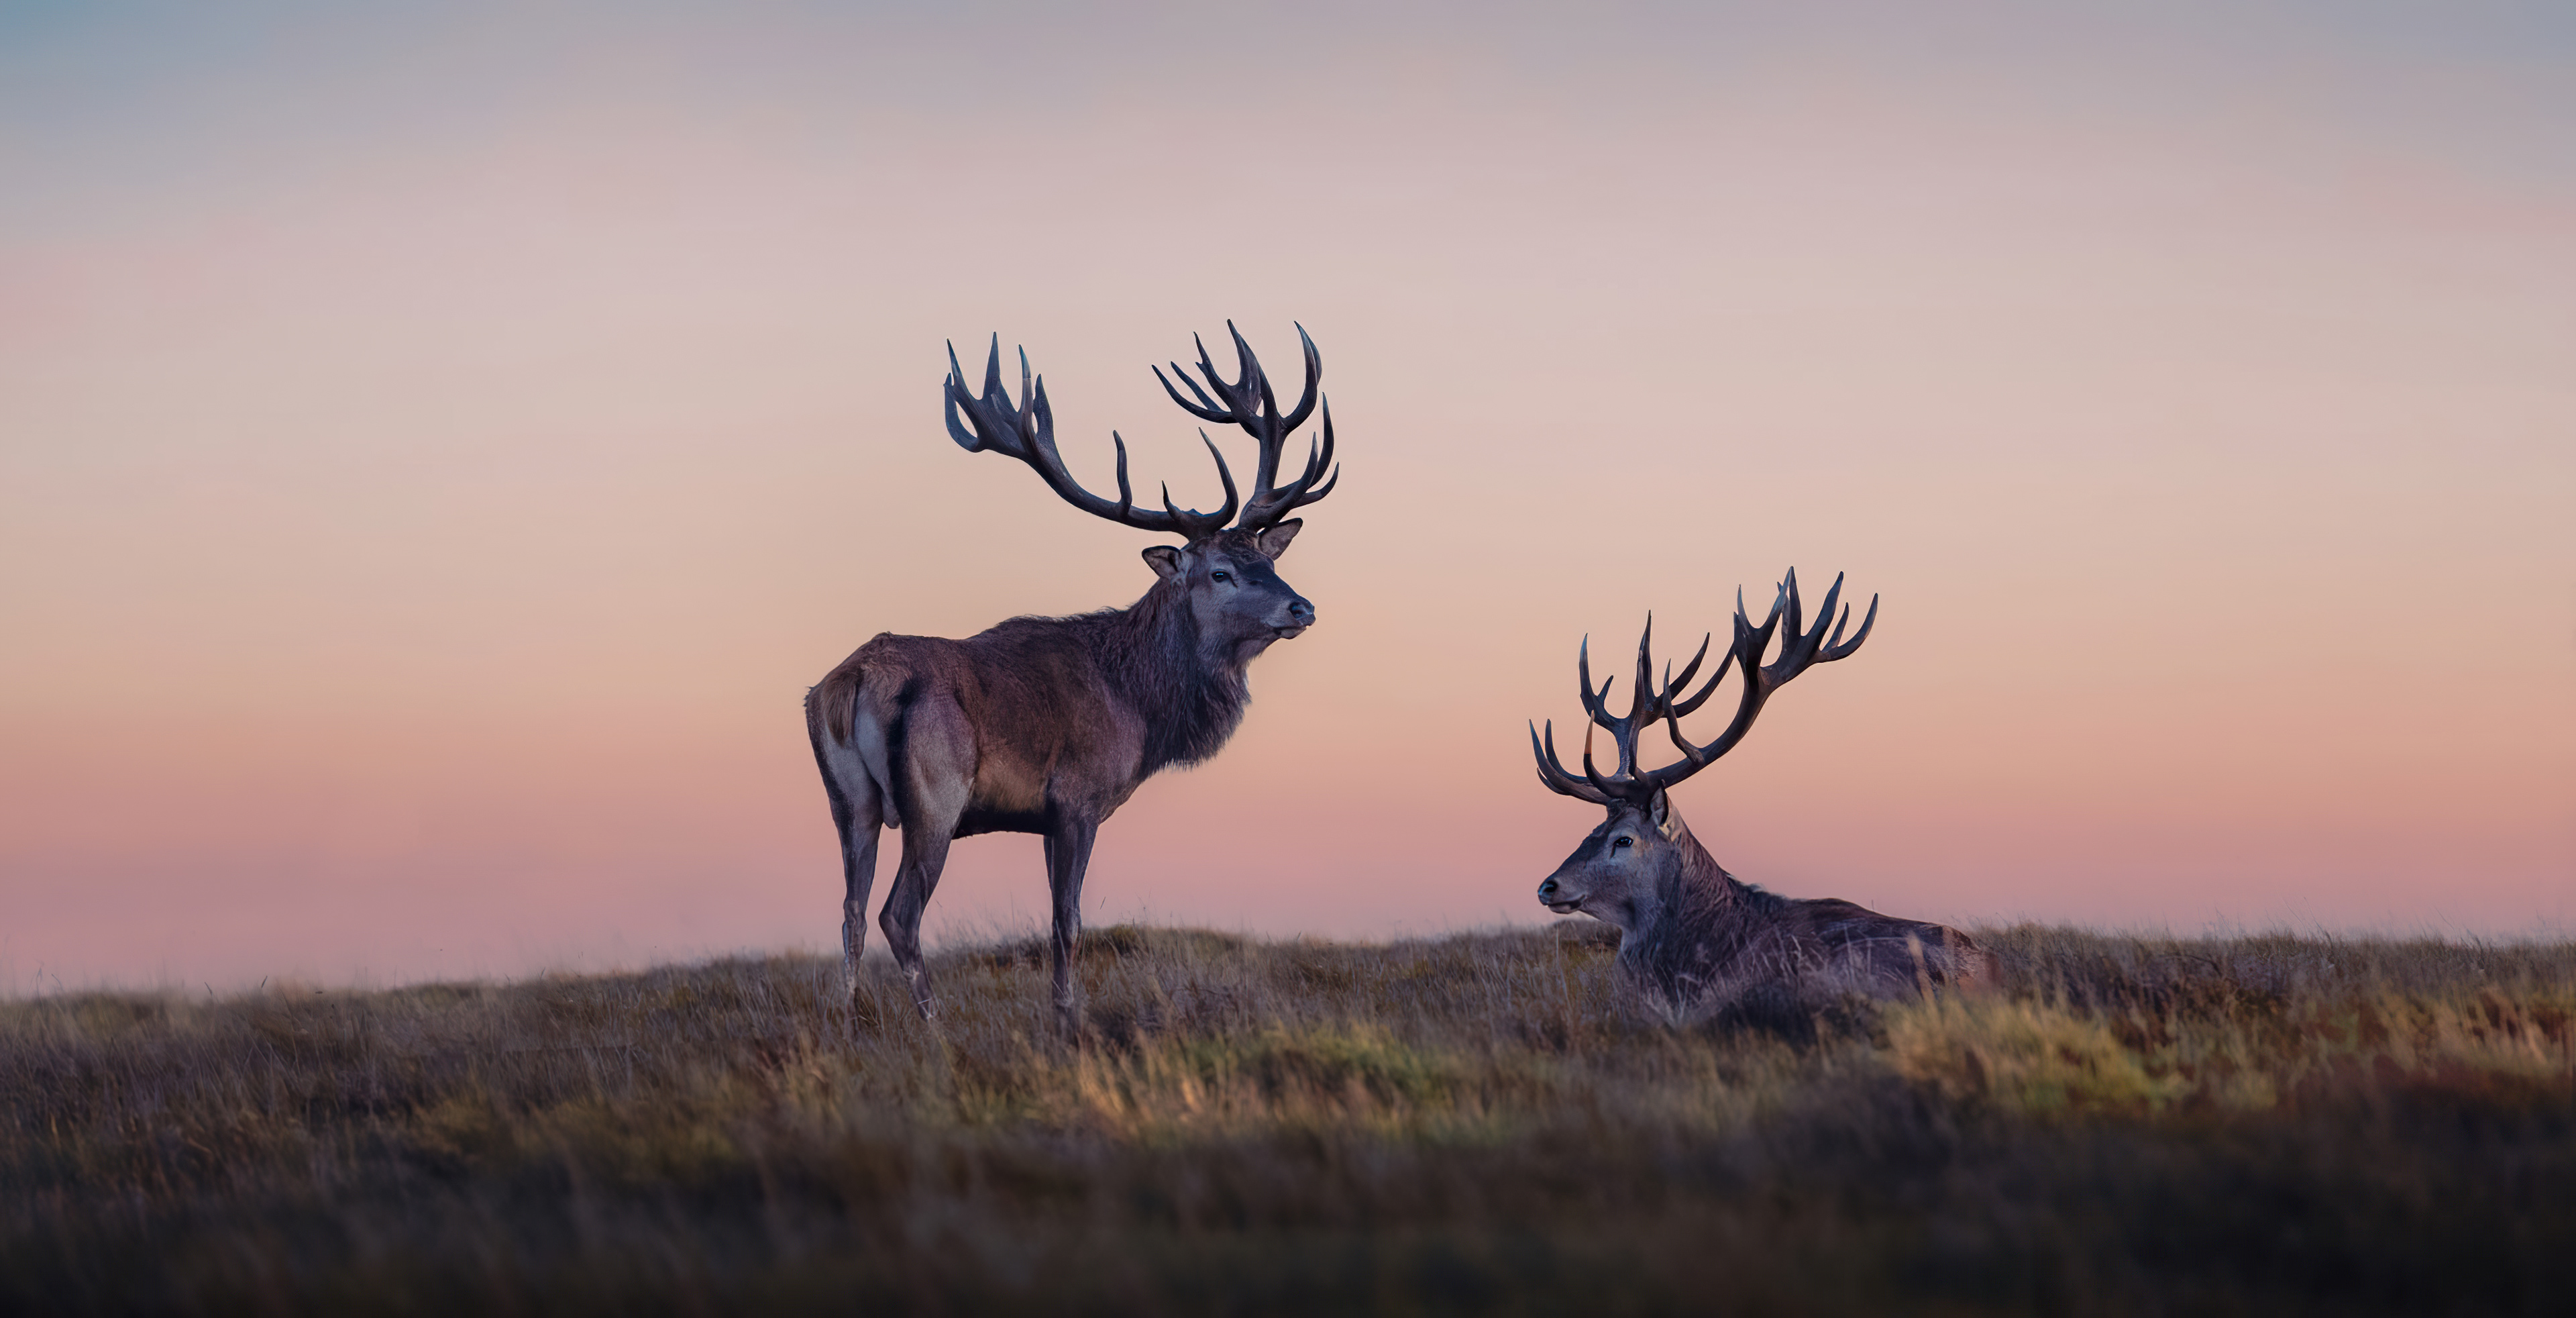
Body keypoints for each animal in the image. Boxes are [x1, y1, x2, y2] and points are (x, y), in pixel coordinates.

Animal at [806, 324, 1335, 1030]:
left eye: (1266, 560)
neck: (1138, 708)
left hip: (848, 803)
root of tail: (850, 682)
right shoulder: (1077, 799)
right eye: (1219, 571)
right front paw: (1067, 1018)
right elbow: (1069, 921)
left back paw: (849, 1019)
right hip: (935, 797)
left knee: (851, 912)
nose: (1301, 607)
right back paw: (934, 1026)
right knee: (899, 914)